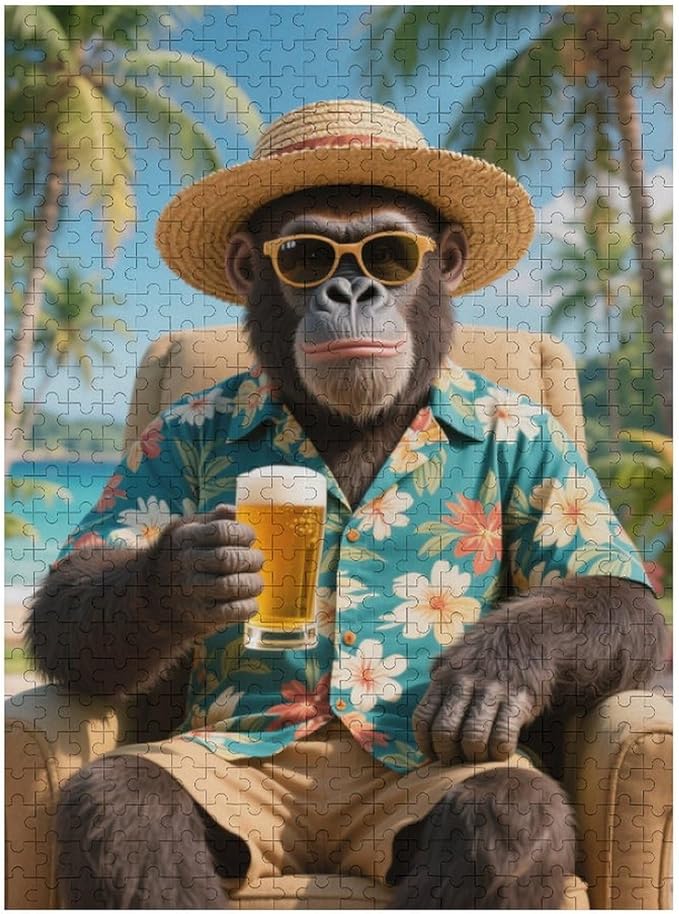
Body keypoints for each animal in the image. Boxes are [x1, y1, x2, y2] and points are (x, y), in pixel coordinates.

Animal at [29, 184, 667, 909]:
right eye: (306, 256)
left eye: (388, 252)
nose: (351, 288)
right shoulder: (163, 431)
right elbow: (75, 591)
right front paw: (181, 577)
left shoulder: (543, 435)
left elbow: (619, 594)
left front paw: (494, 671)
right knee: (125, 801)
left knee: (508, 809)